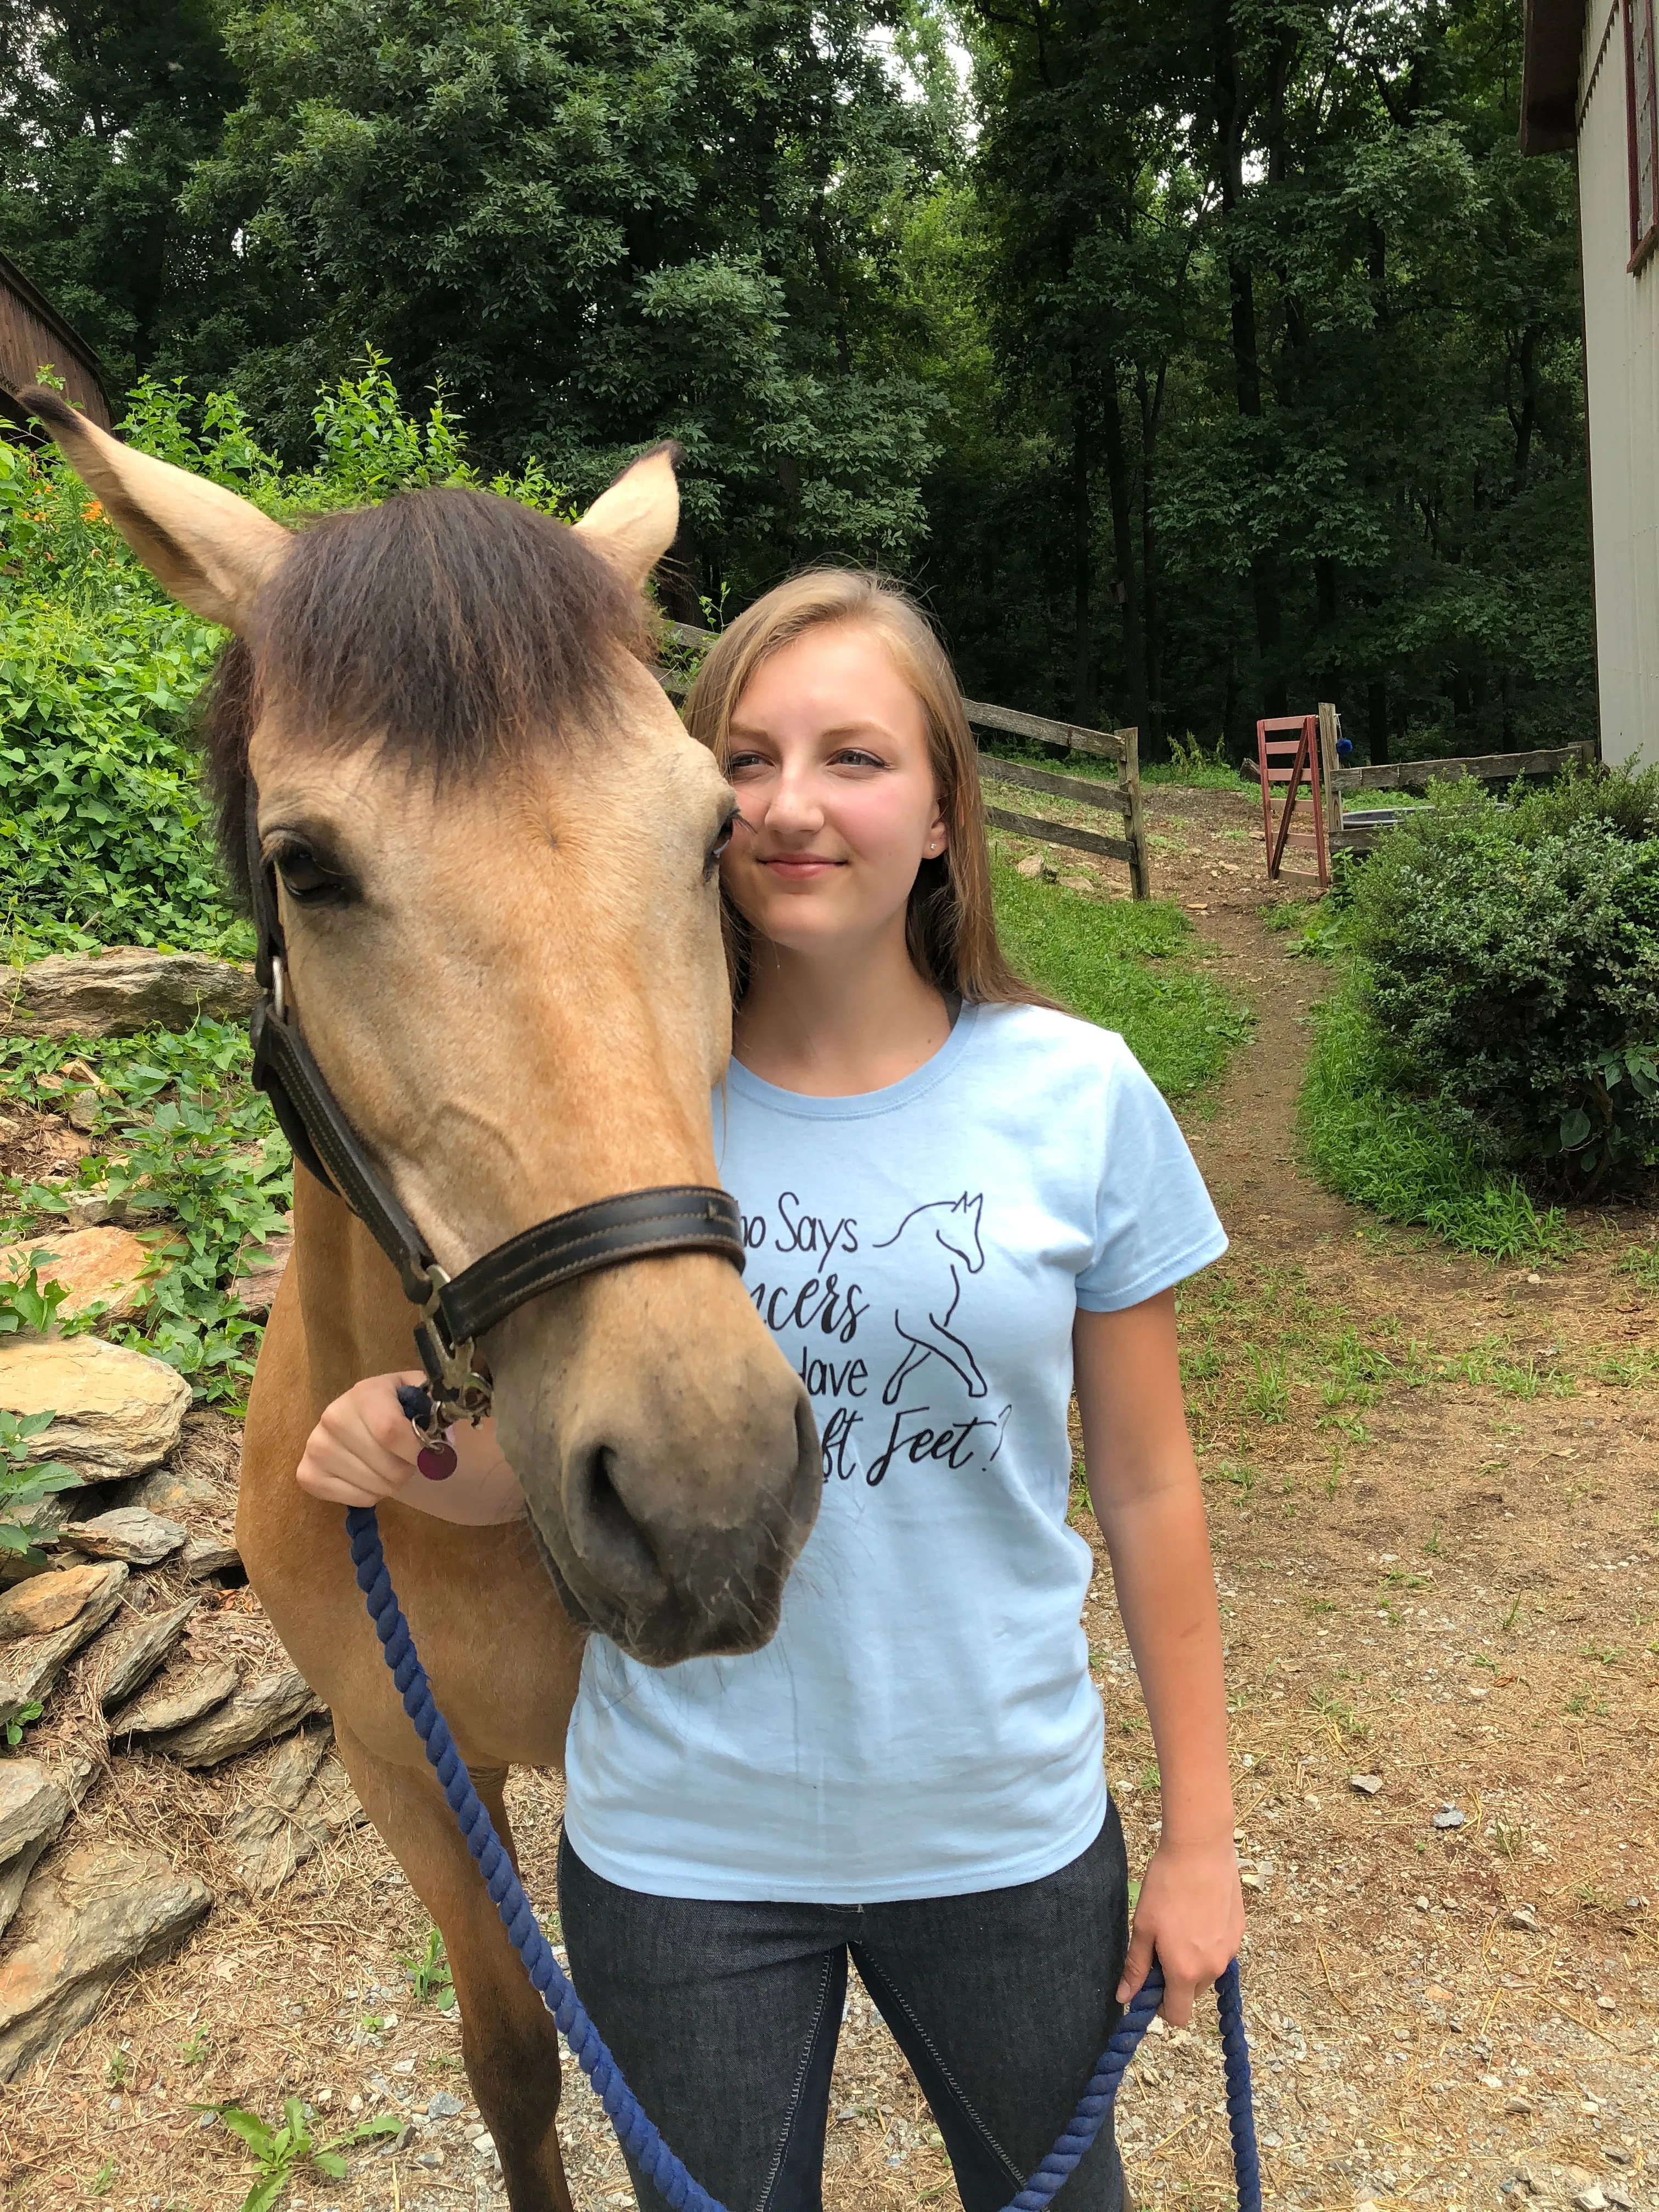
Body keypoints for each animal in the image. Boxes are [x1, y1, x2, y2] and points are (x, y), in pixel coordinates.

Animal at [871, 1194, 986, 1398]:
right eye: (957, 1231)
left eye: (976, 1230)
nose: (978, 1265)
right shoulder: (915, 1325)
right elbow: (958, 1349)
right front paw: (978, 1387)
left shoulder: (929, 1326)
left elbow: (916, 1356)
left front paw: (891, 1392)